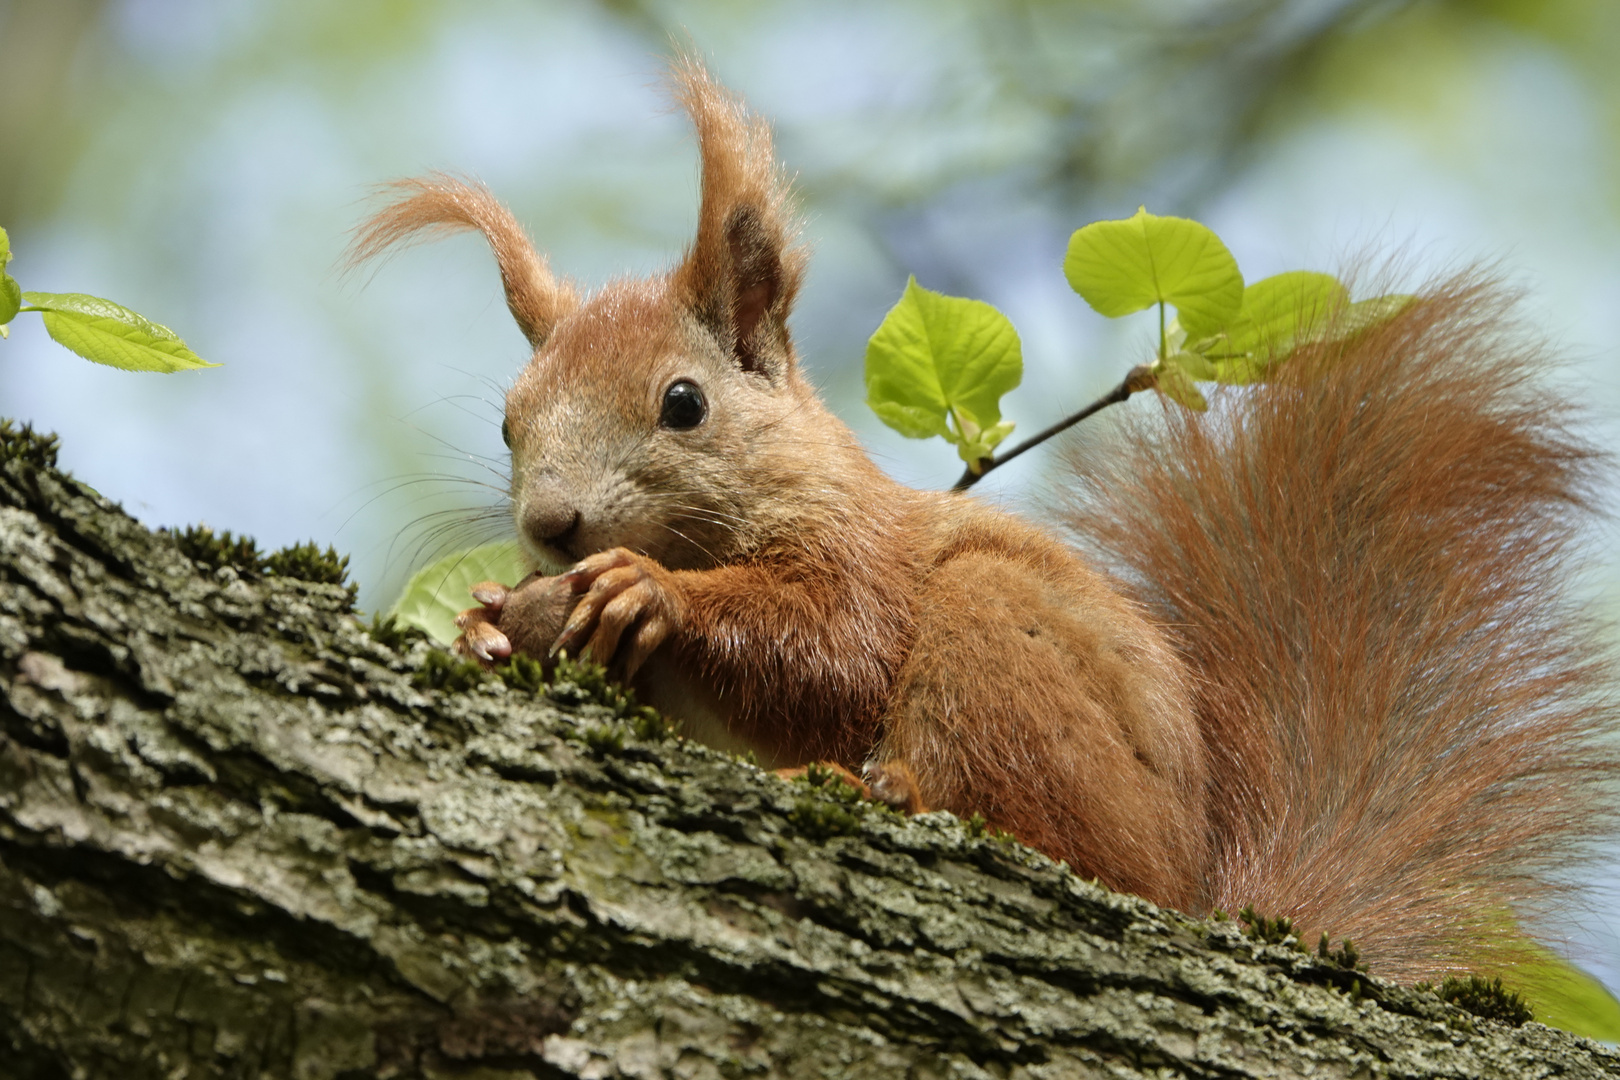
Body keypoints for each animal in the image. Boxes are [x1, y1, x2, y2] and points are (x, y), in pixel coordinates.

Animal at [354, 59, 1620, 990]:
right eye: (509, 424)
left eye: (683, 403)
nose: (552, 523)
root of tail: (1189, 885)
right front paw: (487, 623)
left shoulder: (861, 561)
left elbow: (831, 651)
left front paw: (644, 593)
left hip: (997, 639)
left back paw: (899, 789)